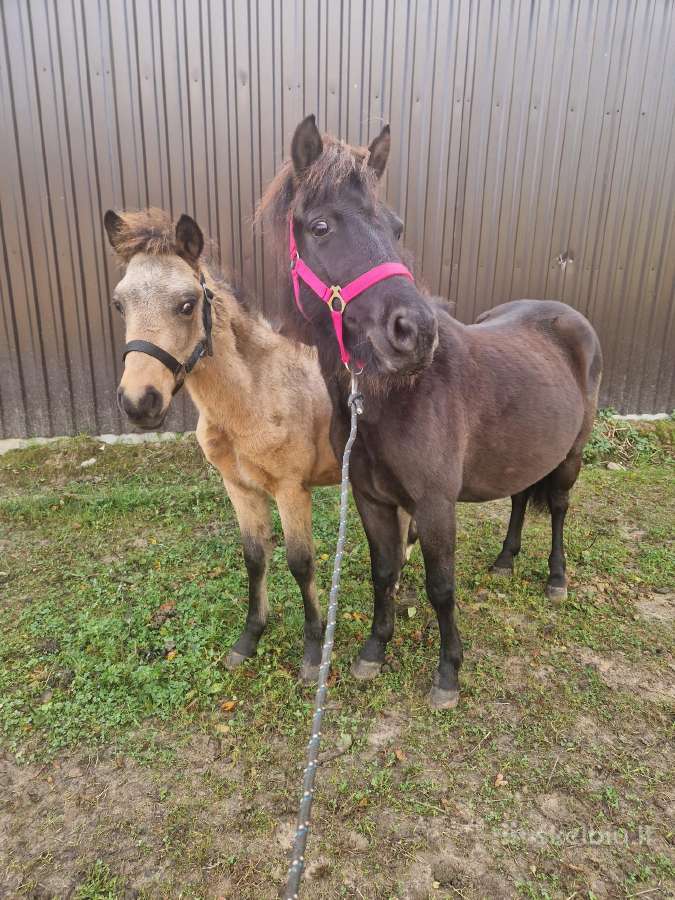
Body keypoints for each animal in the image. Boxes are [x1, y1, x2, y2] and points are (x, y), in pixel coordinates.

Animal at [258, 115, 603, 709]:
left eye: (396, 228)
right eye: (321, 227)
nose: (415, 332)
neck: (394, 398)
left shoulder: (436, 504)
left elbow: (441, 586)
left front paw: (448, 673)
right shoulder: (372, 499)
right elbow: (384, 571)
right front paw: (374, 651)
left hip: (571, 456)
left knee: (558, 508)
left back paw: (556, 579)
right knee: (519, 499)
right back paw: (506, 561)